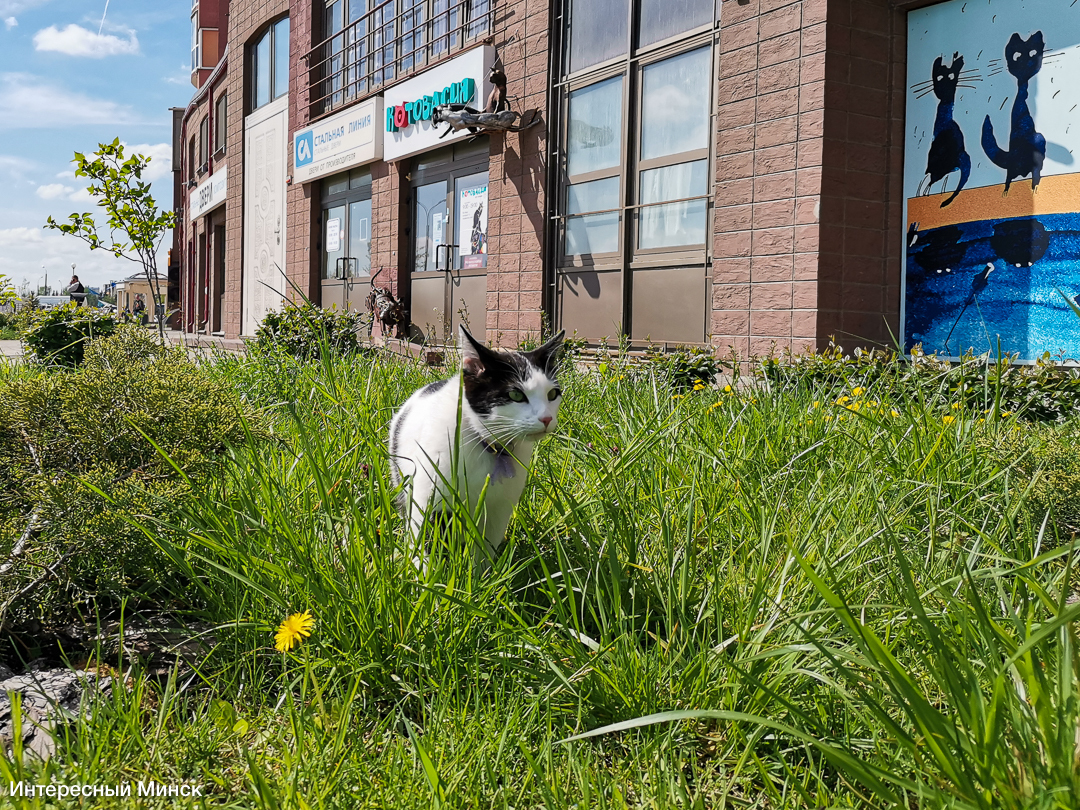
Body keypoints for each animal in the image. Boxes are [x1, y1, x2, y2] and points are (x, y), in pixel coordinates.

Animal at [388, 326, 565, 565]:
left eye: (552, 394)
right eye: (516, 394)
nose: (547, 419)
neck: (489, 446)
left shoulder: (498, 511)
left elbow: (484, 551)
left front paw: (482, 574)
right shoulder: (427, 498)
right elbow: (425, 542)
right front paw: (424, 573)